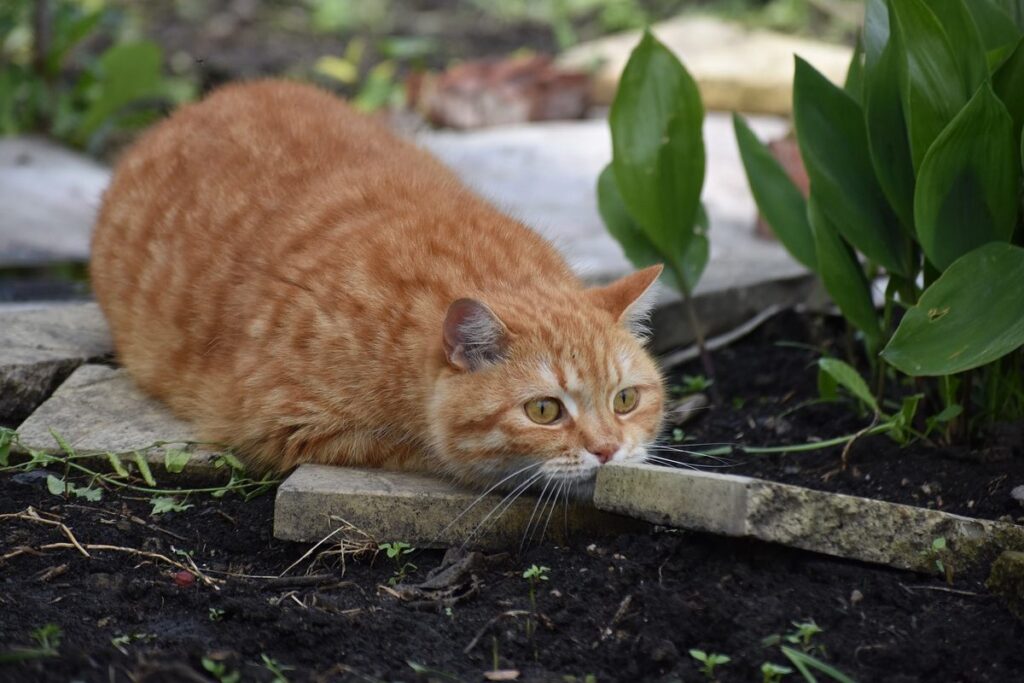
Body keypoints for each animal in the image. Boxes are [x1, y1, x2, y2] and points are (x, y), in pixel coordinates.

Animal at [92, 81, 663, 497]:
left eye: (625, 400)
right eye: (544, 411)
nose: (609, 450)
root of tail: (197, 105)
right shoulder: (290, 425)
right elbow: (432, 452)